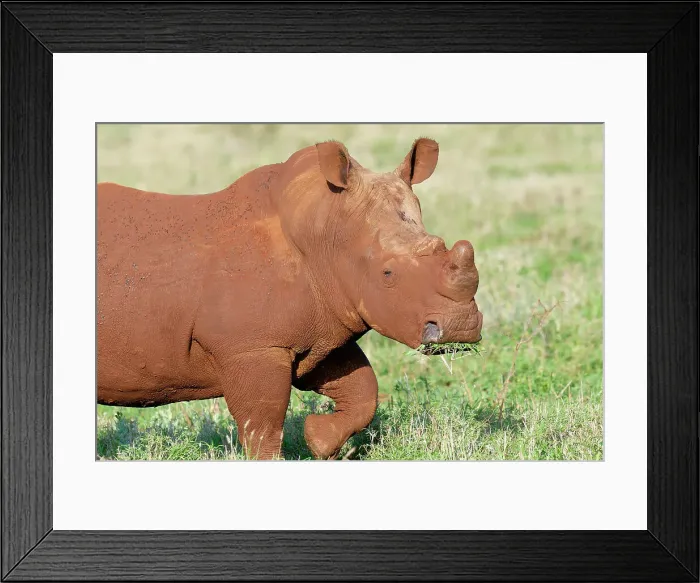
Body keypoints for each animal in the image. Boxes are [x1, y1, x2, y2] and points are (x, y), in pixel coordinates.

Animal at [97, 138, 483, 460]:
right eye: (388, 274)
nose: (460, 329)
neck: (326, 233)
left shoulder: (323, 327)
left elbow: (363, 391)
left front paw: (318, 440)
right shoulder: (252, 347)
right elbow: (264, 424)